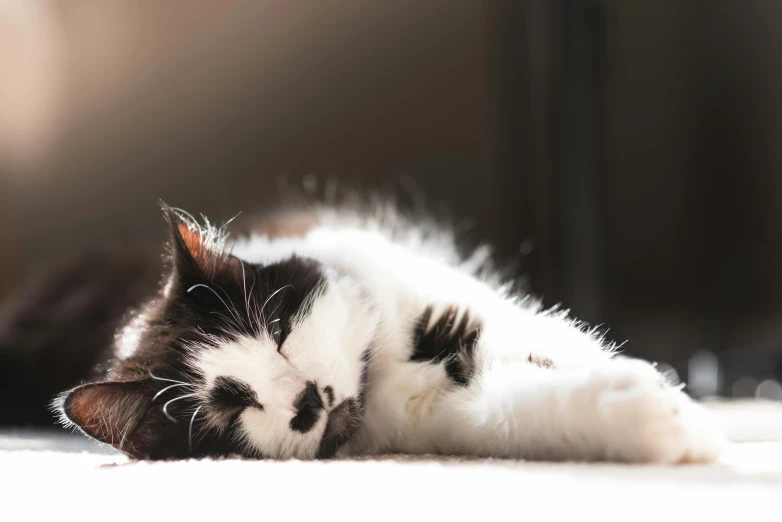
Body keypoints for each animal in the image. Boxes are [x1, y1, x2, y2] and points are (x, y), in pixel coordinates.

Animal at [47, 198, 724, 460]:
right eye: (231, 407)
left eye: (278, 329)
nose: (306, 399)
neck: (389, 367)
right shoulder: (453, 415)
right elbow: (523, 406)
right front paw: (658, 421)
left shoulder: (466, 304)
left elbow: (569, 345)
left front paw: (681, 405)